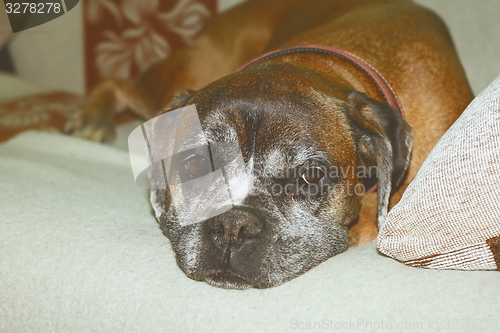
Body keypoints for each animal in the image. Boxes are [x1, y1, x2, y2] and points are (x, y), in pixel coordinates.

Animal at [65, 0, 472, 286]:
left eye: (311, 176)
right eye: (196, 163)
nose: (232, 225)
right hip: (188, 70)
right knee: (120, 83)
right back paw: (92, 117)